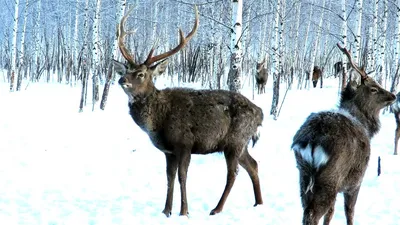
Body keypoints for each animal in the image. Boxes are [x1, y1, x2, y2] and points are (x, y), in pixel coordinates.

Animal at [290, 42, 396, 225]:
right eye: (374, 88)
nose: (393, 95)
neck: (364, 124)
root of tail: (311, 141)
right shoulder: (355, 182)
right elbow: (349, 212)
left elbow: (331, 213)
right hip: (330, 178)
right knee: (312, 215)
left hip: (302, 174)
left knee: (306, 212)